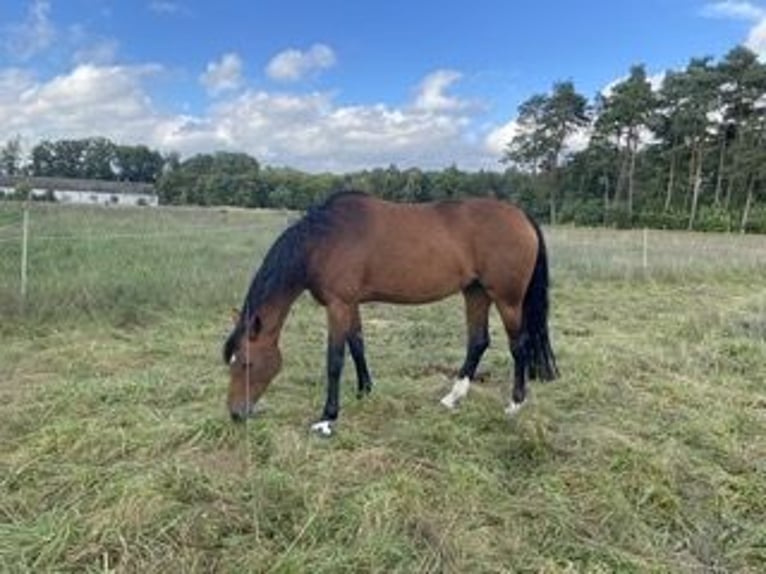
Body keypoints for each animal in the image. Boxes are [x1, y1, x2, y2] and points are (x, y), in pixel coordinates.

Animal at [222, 191, 560, 438]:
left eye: (247, 363)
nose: (236, 414)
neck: (324, 241)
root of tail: (521, 216)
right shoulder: (350, 304)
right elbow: (357, 344)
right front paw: (365, 391)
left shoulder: (338, 305)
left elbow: (335, 360)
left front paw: (327, 418)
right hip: (475, 293)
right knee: (478, 341)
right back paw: (452, 398)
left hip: (507, 299)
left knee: (519, 345)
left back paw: (514, 404)